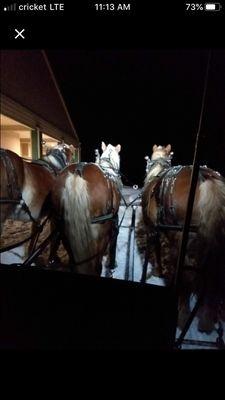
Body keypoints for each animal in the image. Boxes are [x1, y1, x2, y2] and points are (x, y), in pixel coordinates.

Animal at [50, 141, 122, 276]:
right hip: (100, 233)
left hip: (64, 229)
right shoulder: (114, 219)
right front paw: (112, 264)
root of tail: (78, 172)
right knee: (97, 266)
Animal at [141, 145, 225, 332]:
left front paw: (157, 270)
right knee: (212, 274)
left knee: (186, 276)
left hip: (183, 240)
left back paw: (183, 315)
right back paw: (205, 317)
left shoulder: (153, 229)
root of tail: (205, 178)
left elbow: (157, 250)